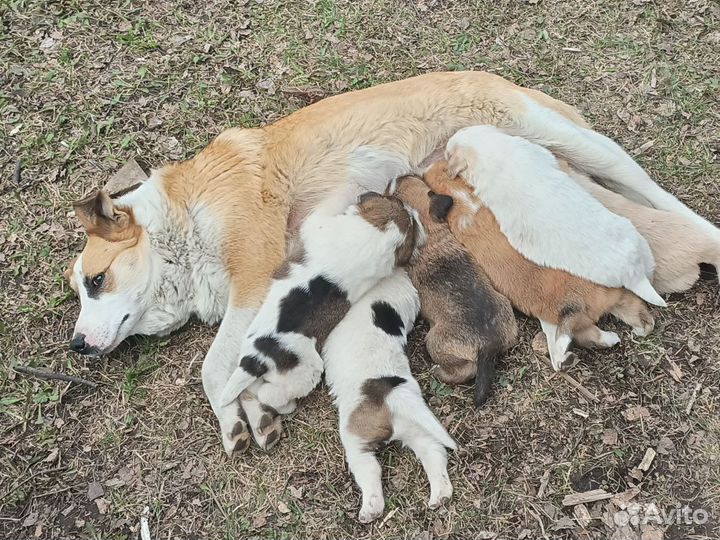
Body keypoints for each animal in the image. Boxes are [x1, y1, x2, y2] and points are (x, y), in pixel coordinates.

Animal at [222, 192, 420, 454]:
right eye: (396, 202)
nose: (411, 208)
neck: (378, 233)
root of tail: (260, 357)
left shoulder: (318, 226)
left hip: (306, 373)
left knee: (267, 393)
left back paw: (283, 407)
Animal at [324, 270, 456, 524]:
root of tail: (394, 392)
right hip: (414, 427)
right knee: (433, 452)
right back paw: (440, 494)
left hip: (355, 438)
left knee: (369, 469)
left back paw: (371, 508)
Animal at [388, 174, 516, 404]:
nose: (400, 175)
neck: (429, 233)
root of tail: (488, 343)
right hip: (507, 313)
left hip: (434, 341)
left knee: (465, 370)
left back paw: (439, 371)